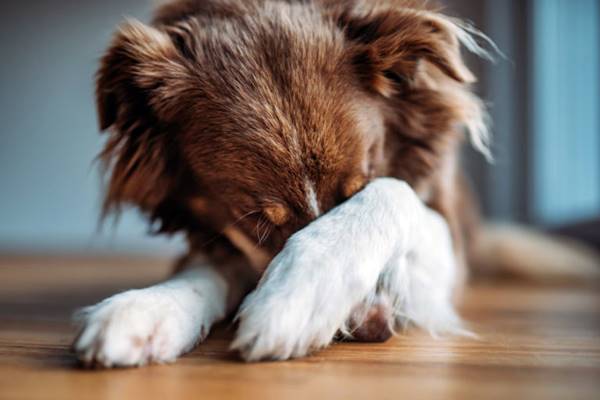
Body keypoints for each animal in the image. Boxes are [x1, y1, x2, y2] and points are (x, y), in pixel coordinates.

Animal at [71, 0, 600, 366]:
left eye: (357, 187)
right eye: (257, 222)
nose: (370, 328)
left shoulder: (447, 242)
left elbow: (394, 193)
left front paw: (301, 293)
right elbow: (206, 267)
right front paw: (146, 309)